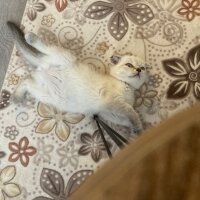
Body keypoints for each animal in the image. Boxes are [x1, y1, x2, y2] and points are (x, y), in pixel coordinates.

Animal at [7, 21, 148, 134]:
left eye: (143, 68)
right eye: (129, 65)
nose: (138, 70)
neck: (127, 86)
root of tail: (43, 64)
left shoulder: (110, 112)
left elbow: (126, 119)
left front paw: (135, 131)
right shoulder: (115, 103)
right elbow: (132, 113)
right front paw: (139, 127)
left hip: (45, 93)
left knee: (27, 81)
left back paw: (16, 97)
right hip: (63, 56)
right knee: (44, 47)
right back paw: (30, 37)